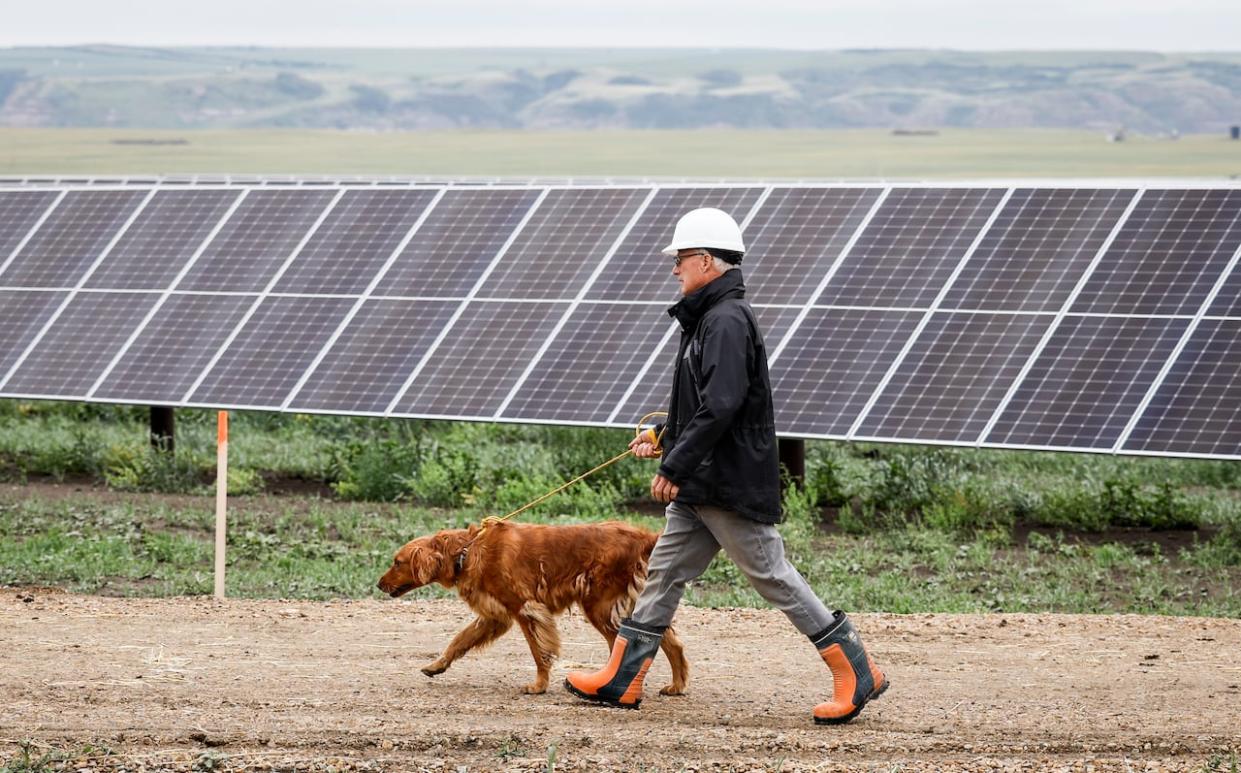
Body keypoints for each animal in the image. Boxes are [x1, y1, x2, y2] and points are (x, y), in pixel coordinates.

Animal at [374, 521, 689, 694]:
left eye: (397, 562)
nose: (378, 584)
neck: (466, 552)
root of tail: (642, 536)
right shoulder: (494, 616)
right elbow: (459, 640)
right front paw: (436, 665)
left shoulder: (525, 609)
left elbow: (538, 653)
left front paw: (538, 686)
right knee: (668, 641)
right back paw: (676, 685)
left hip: (599, 606)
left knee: (621, 645)